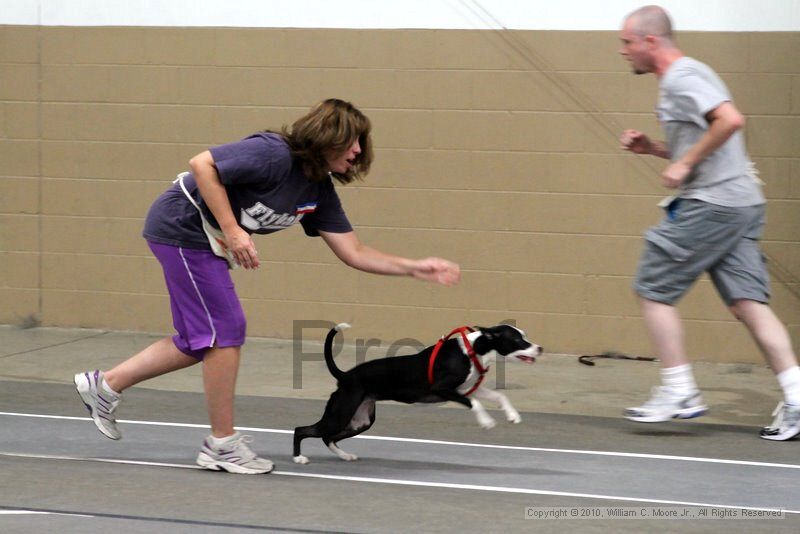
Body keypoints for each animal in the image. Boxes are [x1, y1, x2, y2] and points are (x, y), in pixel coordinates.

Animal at [294, 324, 544, 466]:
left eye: (525, 336)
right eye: (518, 340)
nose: (540, 348)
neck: (473, 351)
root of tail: (345, 376)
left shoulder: (467, 388)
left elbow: (500, 397)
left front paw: (512, 415)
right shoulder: (443, 389)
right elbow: (474, 403)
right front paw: (486, 421)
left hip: (361, 420)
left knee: (328, 437)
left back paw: (345, 456)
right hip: (341, 413)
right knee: (303, 430)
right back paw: (299, 457)